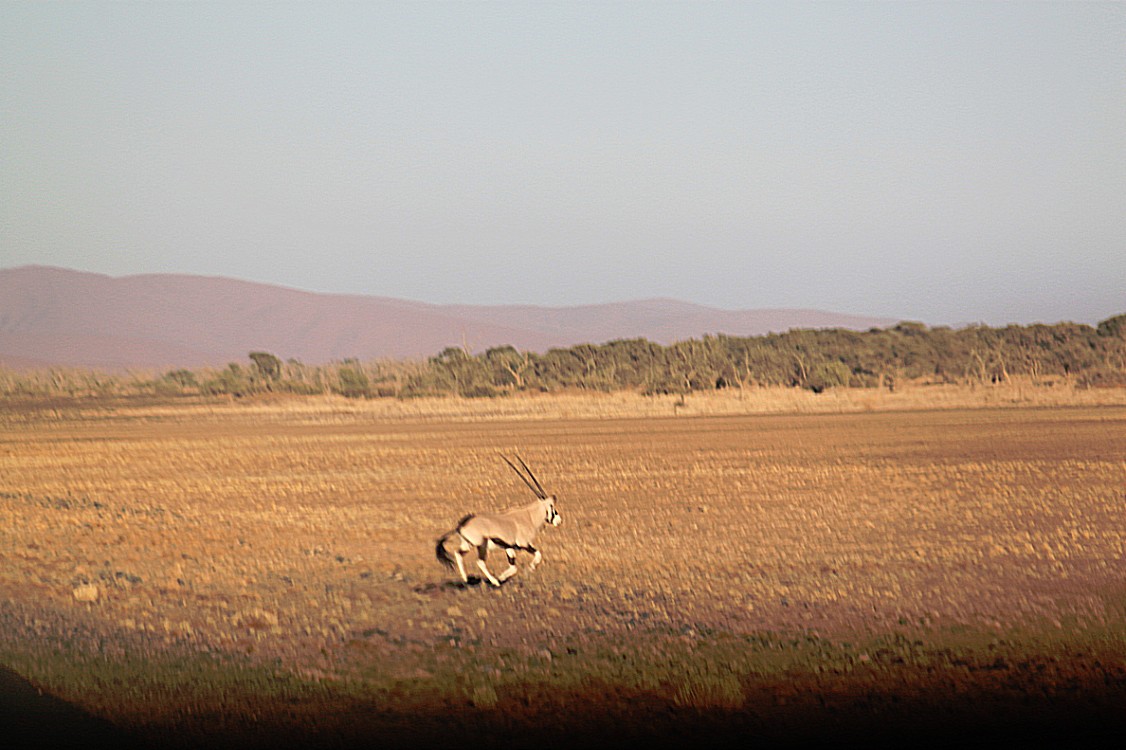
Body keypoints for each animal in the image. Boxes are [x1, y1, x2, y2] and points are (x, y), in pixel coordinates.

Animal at [439, 452, 563, 585]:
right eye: (552, 507)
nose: (559, 521)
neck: (530, 516)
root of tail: (462, 525)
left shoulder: (509, 546)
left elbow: (513, 567)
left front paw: (503, 576)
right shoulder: (524, 544)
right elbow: (538, 556)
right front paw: (523, 572)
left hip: (468, 544)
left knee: (458, 554)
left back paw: (467, 579)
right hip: (480, 545)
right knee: (480, 561)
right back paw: (494, 581)